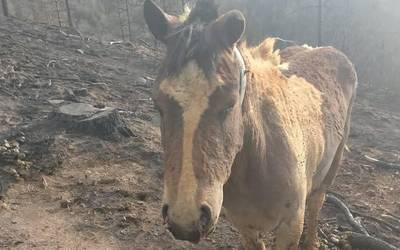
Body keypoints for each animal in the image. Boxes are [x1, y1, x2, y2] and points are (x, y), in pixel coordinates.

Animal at [143, 0, 356, 249]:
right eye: (157, 104)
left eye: (229, 104)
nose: (185, 220)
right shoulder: (244, 225)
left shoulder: (291, 226)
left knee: (316, 204)